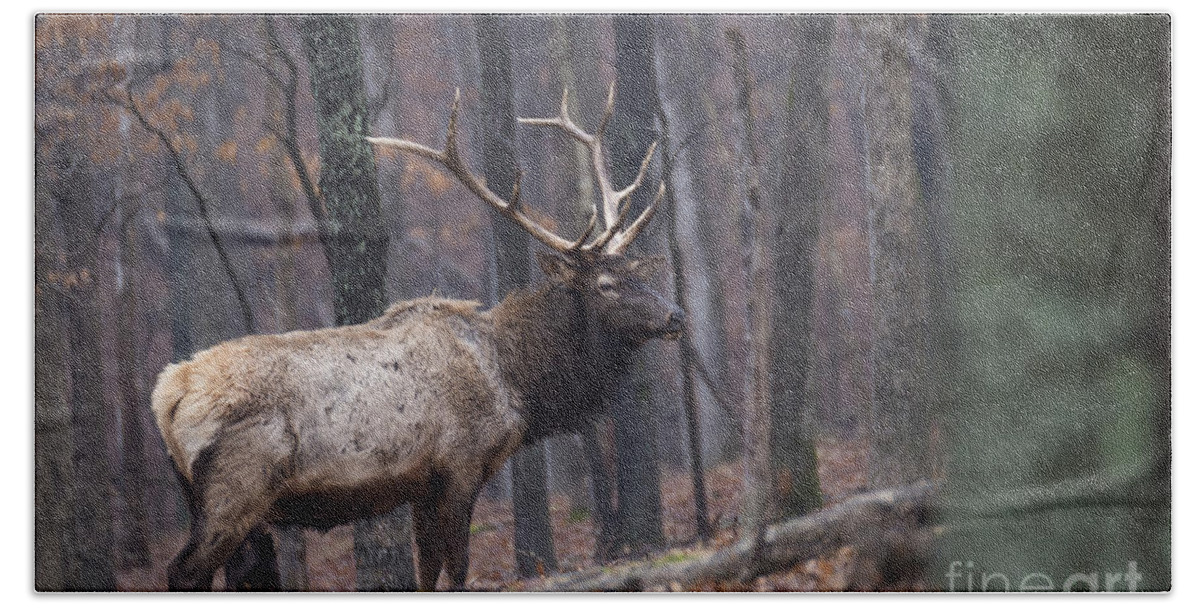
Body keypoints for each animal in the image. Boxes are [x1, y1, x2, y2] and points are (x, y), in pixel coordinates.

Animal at [147, 85, 686, 590]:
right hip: (238, 485)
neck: (515, 382)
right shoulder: (460, 464)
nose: (676, 316)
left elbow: (427, 571)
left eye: (636, 273)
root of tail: (168, 392)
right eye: (607, 284)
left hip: (211, 497)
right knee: (185, 570)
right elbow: (459, 568)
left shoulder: (421, 484)